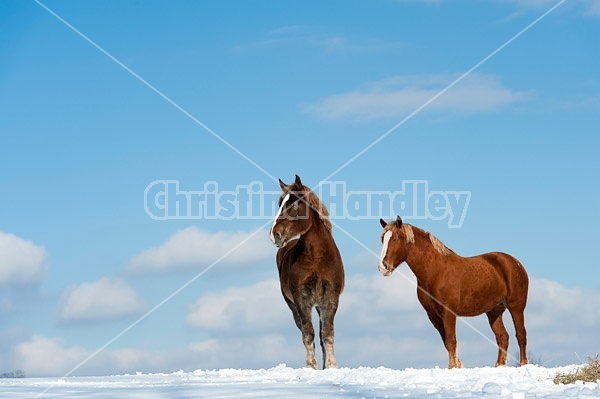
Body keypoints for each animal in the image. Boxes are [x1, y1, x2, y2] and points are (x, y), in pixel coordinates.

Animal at [270, 177, 344, 370]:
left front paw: (331, 365)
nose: (275, 235)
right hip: (293, 305)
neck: (316, 258)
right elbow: (308, 333)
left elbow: (327, 333)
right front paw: (311, 366)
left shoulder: (330, 298)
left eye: (295, 204)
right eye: (280, 203)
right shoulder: (301, 299)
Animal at [378, 217, 528, 370]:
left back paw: (523, 364)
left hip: (516, 307)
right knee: (503, 337)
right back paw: (499, 365)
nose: (383, 267)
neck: (436, 272)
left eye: (395, 238)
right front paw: (458, 365)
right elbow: (446, 341)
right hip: (494, 311)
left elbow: (451, 340)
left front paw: (452, 367)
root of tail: (515, 263)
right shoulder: (432, 315)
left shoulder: (448, 312)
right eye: (383, 239)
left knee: (521, 334)